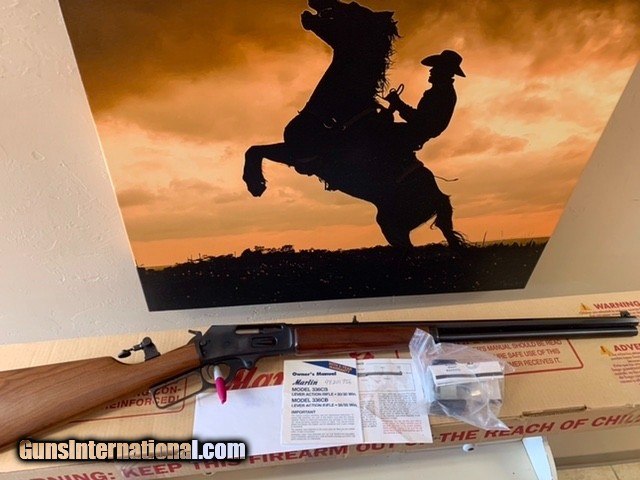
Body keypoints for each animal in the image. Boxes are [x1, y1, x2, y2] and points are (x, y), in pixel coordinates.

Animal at [243, 0, 465, 248]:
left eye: (352, 8)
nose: (316, 2)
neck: (341, 108)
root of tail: (438, 197)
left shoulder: (299, 152)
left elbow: (254, 150)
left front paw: (255, 184)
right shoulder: (296, 153)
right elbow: (254, 149)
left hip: (394, 225)